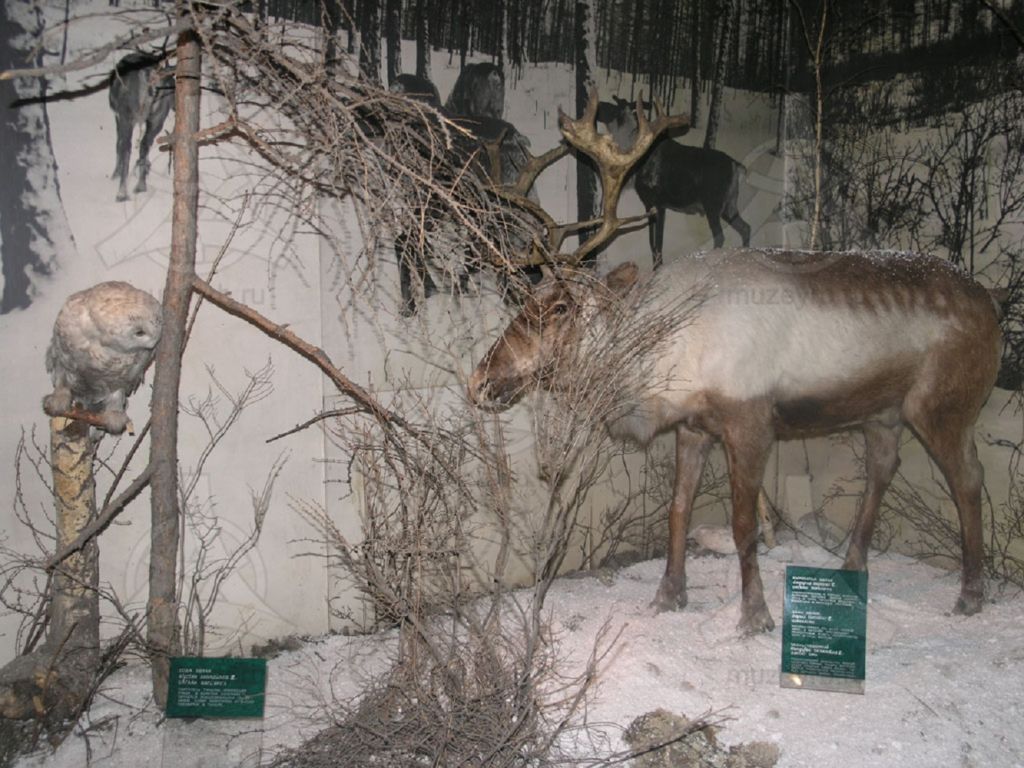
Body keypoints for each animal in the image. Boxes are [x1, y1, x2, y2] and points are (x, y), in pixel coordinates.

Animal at [108, 52, 174, 202]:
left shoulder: (118, 116)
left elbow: (118, 144)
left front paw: (115, 174)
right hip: (158, 116)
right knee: (145, 143)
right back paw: (141, 185)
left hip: (127, 115)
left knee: (126, 146)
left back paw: (122, 193)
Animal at [599, 95, 751, 269]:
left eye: (612, 108)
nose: (600, 105)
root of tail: (736, 166)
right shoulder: (649, 204)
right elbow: (652, 243)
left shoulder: (659, 203)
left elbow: (658, 243)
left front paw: (658, 267)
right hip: (729, 204)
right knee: (745, 228)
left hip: (713, 204)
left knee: (720, 235)